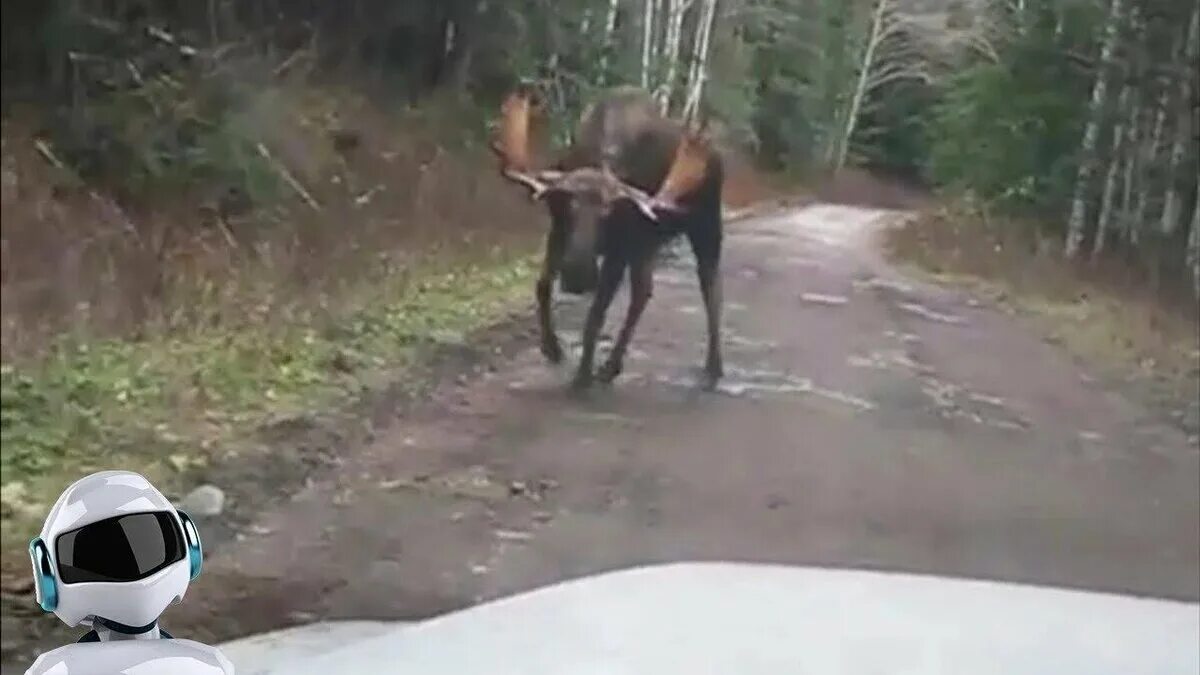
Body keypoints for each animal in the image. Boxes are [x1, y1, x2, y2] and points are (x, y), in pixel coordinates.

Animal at [492, 84, 724, 389]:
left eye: (607, 212)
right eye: (570, 207)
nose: (577, 275)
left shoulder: (619, 248)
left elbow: (596, 313)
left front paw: (582, 375)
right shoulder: (559, 230)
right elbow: (542, 287)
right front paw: (552, 348)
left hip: (706, 229)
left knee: (711, 289)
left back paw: (713, 367)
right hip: (647, 244)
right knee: (642, 292)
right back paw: (612, 366)